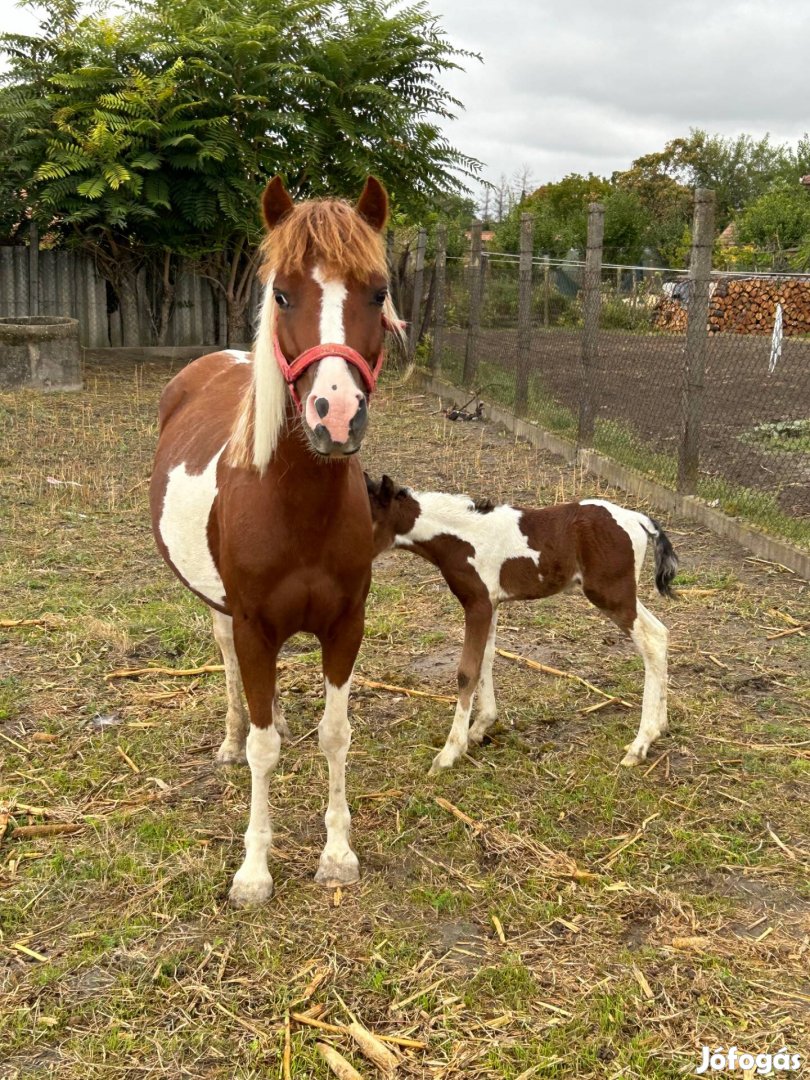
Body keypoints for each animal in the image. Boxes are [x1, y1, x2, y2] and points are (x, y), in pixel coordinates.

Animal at [367, 477, 678, 773]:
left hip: (611, 594)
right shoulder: (491, 604)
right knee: (661, 633)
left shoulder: (478, 604)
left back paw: (640, 745)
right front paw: (481, 727)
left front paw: (449, 753)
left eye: (368, 517)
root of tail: (637, 518)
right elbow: (486, 659)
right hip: (623, 594)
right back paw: (659, 728)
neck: (462, 538)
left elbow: (467, 671)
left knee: (651, 641)